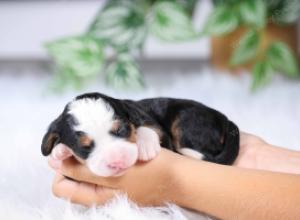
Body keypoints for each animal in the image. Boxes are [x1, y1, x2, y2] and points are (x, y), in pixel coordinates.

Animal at [41, 93, 239, 177]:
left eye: (121, 130)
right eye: (85, 148)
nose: (117, 161)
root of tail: (226, 120)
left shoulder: (152, 124)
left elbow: (146, 128)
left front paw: (145, 145)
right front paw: (60, 152)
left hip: (186, 121)